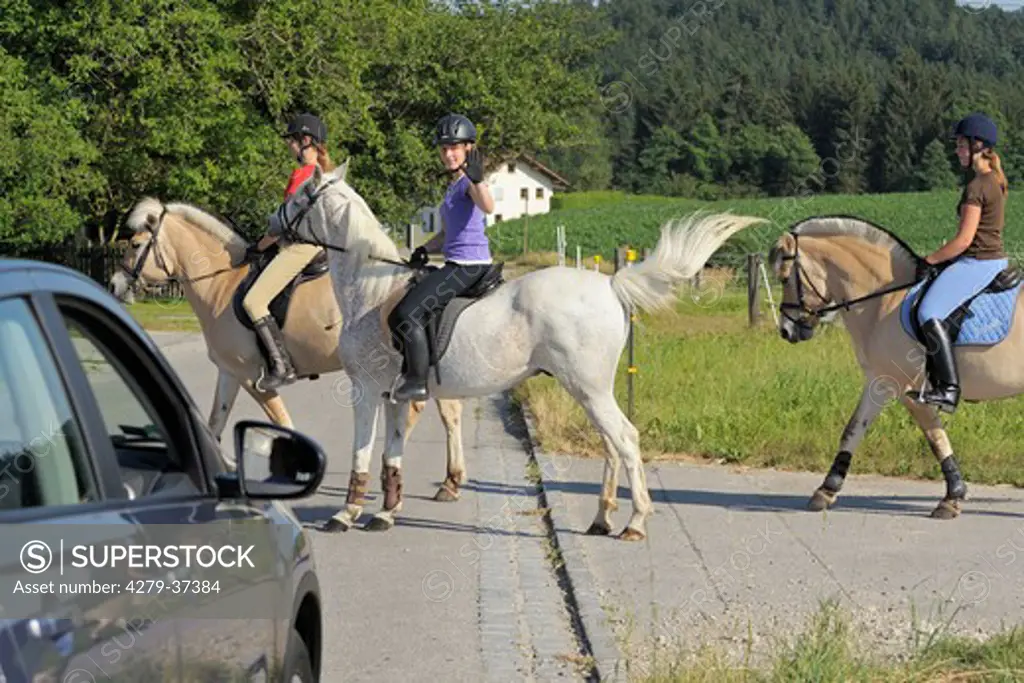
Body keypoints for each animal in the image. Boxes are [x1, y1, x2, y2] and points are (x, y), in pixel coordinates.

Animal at [107, 187, 468, 501]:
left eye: (136, 244)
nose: (114, 284)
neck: (222, 283)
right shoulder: (229, 372)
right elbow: (215, 422)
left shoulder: (252, 377)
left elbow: (282, 421)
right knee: (449, 412)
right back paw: (448, 482)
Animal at [266, 163, 770, 540]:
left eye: (299, 195)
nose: (270, 226)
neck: (372, 291)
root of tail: (610, 284)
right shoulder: (394, 395)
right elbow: (391, 455)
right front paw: (385, 513)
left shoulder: (367, 390)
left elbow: (362, 452)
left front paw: (346, 514)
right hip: (589, 389)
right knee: (611, 443)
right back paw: (602, 518)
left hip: (588, 387)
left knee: (625, 439)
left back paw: (635, 523)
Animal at [770, 216, 1024, 520]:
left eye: (785, 278)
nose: (787, 331)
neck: (884, 299)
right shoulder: (879, 381)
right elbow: (852, 431)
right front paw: (826, 490)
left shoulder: (908, 388)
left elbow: (935, 437)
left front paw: (951, 498)